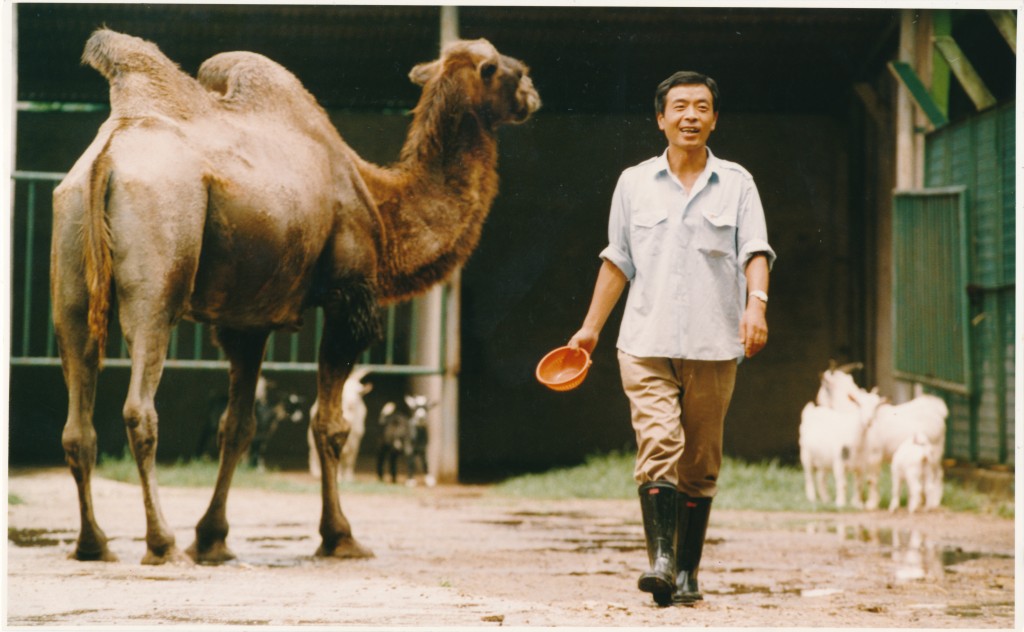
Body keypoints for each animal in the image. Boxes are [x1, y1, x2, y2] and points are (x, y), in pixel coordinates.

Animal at [50, 27, 540, 565]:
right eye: (509, 68)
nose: (533, 93)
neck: (381, 203)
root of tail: (108, 154)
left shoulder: (246, 320)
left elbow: (237, 426)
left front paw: (213, 538)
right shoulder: (350, 298)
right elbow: (329, 425)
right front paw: (340, 537)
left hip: (70, 258)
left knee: (77, 419)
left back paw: (93, 543)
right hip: (158, 264)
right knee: (140, 408)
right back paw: (162, 544)